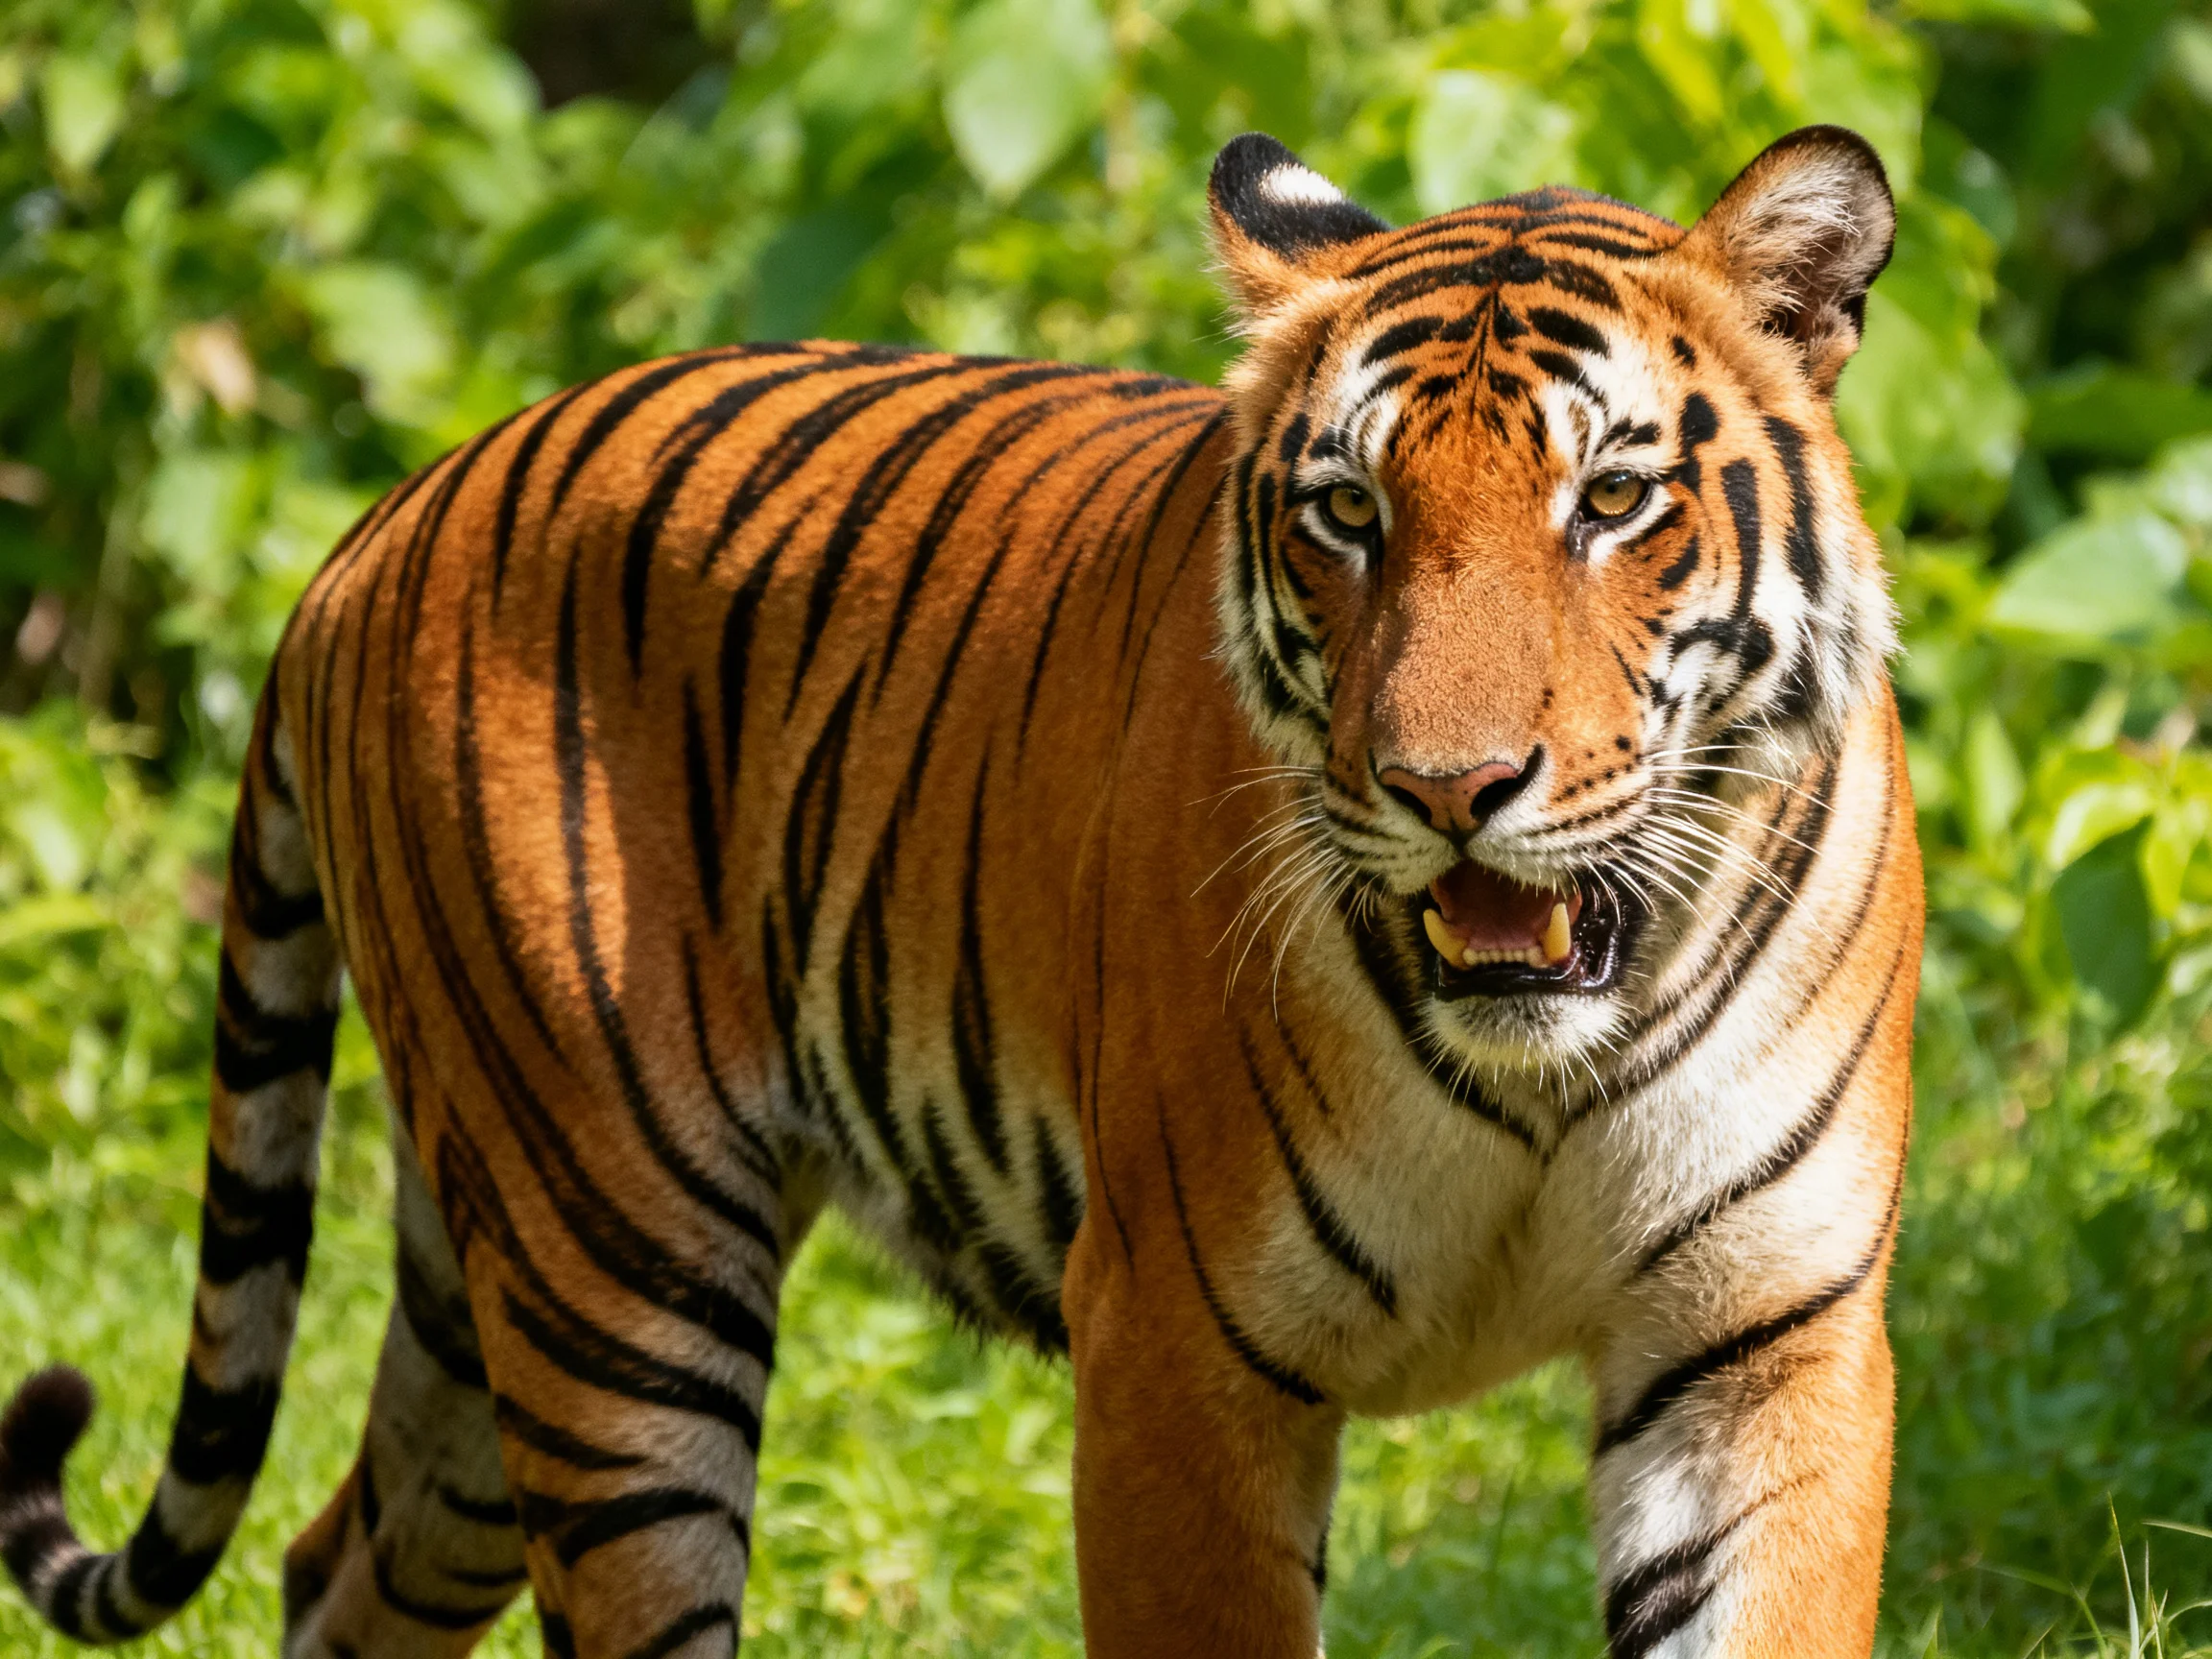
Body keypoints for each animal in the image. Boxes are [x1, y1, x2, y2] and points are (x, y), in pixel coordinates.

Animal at [0, 123, 1919, 1658]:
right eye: (1346, 514)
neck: (1547, 1065)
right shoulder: (1175, 1348)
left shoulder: (1760, 1344)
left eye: (1613, 497)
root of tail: (371, 530)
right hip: (609, 1268)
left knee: (334, 1565)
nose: (1447, 792)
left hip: (481, 1288)